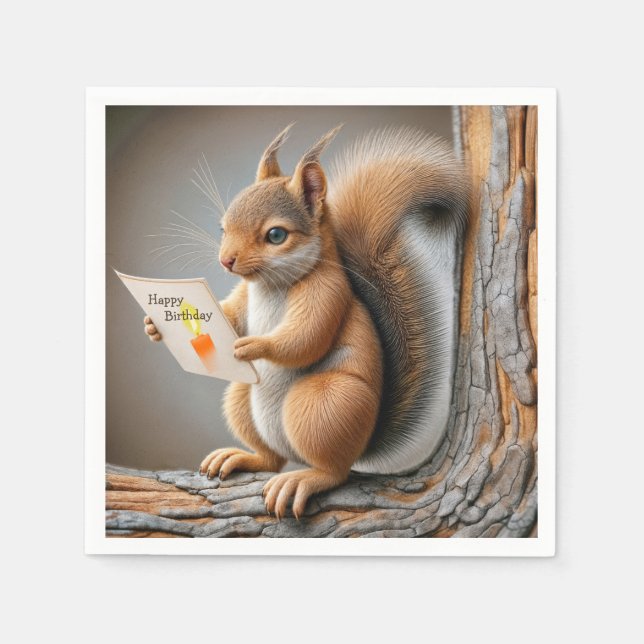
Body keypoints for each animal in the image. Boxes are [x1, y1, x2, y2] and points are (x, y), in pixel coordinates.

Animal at [143, 123, 469, 519]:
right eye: (223, 227)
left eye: (276, 235)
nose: (226, 261)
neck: (270, 284)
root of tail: (362, 443)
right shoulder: (244, 295)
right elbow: (232, 316)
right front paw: (153, 325)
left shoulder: (326, 293)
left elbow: (306, 338)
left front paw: (253, 346)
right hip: (242, 399)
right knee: (271, 459)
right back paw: (239, 457)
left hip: (322, 405)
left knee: (333, 471)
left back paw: (302, 479)